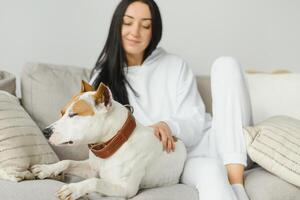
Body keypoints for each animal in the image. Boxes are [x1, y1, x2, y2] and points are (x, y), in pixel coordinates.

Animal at [29, 81, 185, 200]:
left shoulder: (125, 189)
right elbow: (67, 162)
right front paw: (47, 169)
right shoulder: (91, 169)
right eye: (62, 113)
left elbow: (96, 182)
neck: (114, 143)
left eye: (73, 115)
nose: (45, 131)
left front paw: (73, 189)